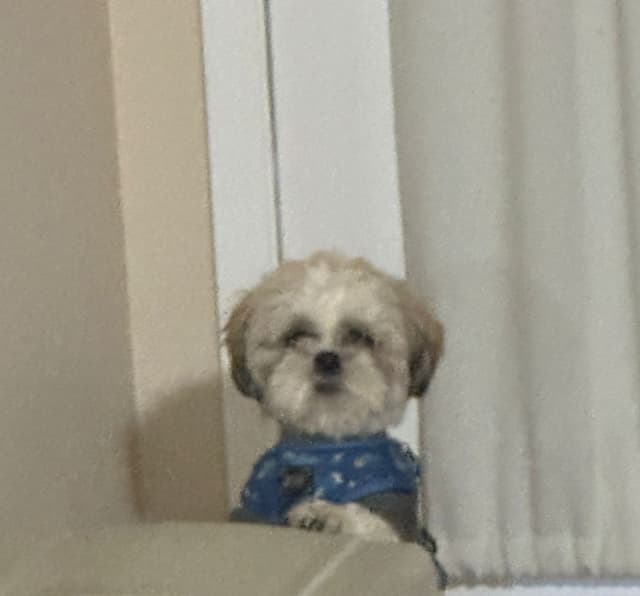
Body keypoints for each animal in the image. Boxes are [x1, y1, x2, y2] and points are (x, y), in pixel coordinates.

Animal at [226, 251, 443, 542]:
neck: (323, 452)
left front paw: (326, 515)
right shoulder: (252, 511)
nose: (327, 358)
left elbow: (373, 524)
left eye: (360, 336)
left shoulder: (398, 517)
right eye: (296, 335)